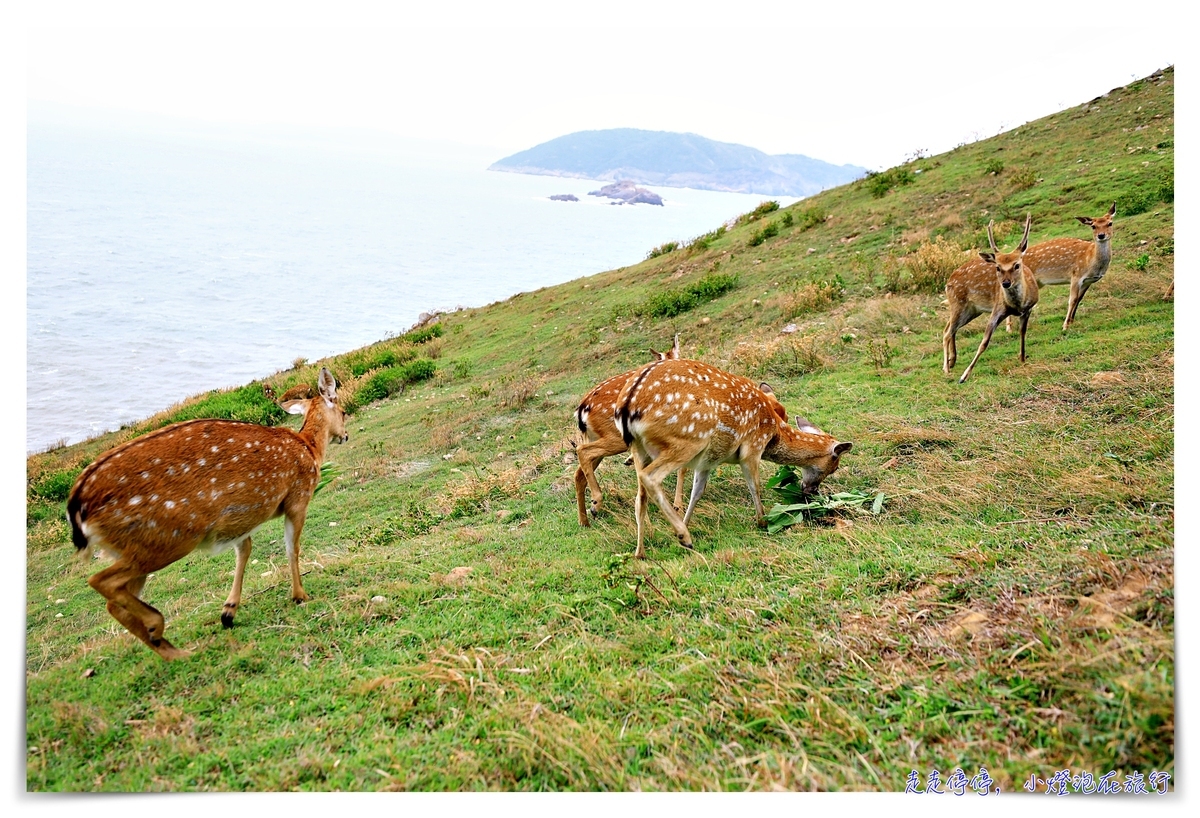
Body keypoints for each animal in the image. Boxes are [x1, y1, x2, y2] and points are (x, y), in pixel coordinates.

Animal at [66, 367, 350, 657]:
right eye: (343, 411)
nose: (345, 435)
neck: (309, 449)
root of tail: (77, 505)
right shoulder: (298, 498)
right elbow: (292, 548)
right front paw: (299, 595)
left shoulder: (238, 520)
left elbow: (245, 549)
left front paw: (228, 612)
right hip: (168, 539)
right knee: (101, 581)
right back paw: (159, 627)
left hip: (134, 547)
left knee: (114, 603)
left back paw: (173, 651)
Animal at [619, 357, 854, 556]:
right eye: (833, 466)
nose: (810, 492)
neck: (774, 433)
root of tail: (627, 407)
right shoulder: (752, 448)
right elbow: (755, 486)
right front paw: (763, 521)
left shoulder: (707, 462)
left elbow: (697, 492)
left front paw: (686, 522)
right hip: (689, 438)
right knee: (650, 477)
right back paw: (684, 537)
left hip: (640, 449)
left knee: (640, 498)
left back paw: (641, 552)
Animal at [940, 214, 1036, 383]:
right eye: (998, 267)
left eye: (1017, 265)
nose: (1005, 283)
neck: (1017, 305)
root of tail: (948, 282)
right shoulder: (997, 310)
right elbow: (984, 342)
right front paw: (964, 376)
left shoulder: (1028, 310)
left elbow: (1023, 332)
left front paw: (1023, 358)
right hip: (958, 304)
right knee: (947, 333)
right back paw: (946, 368)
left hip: (970, 310)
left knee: (949, 328)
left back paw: (952, 361)